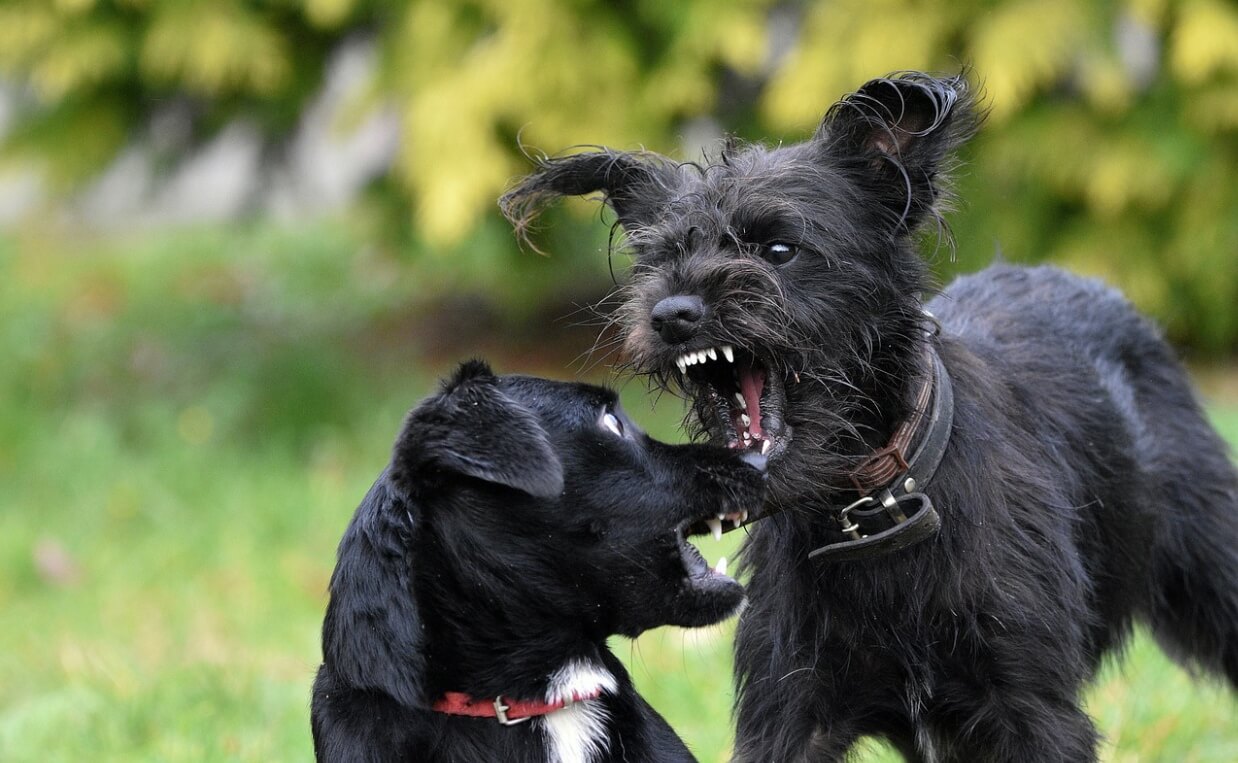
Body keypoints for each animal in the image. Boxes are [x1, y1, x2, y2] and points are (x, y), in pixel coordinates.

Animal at [500, 69, 1238, 758]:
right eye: (659, 258)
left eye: (779, 249)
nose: (671, 313)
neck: (872, 509)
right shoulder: (788, 714)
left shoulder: (1034, 714)